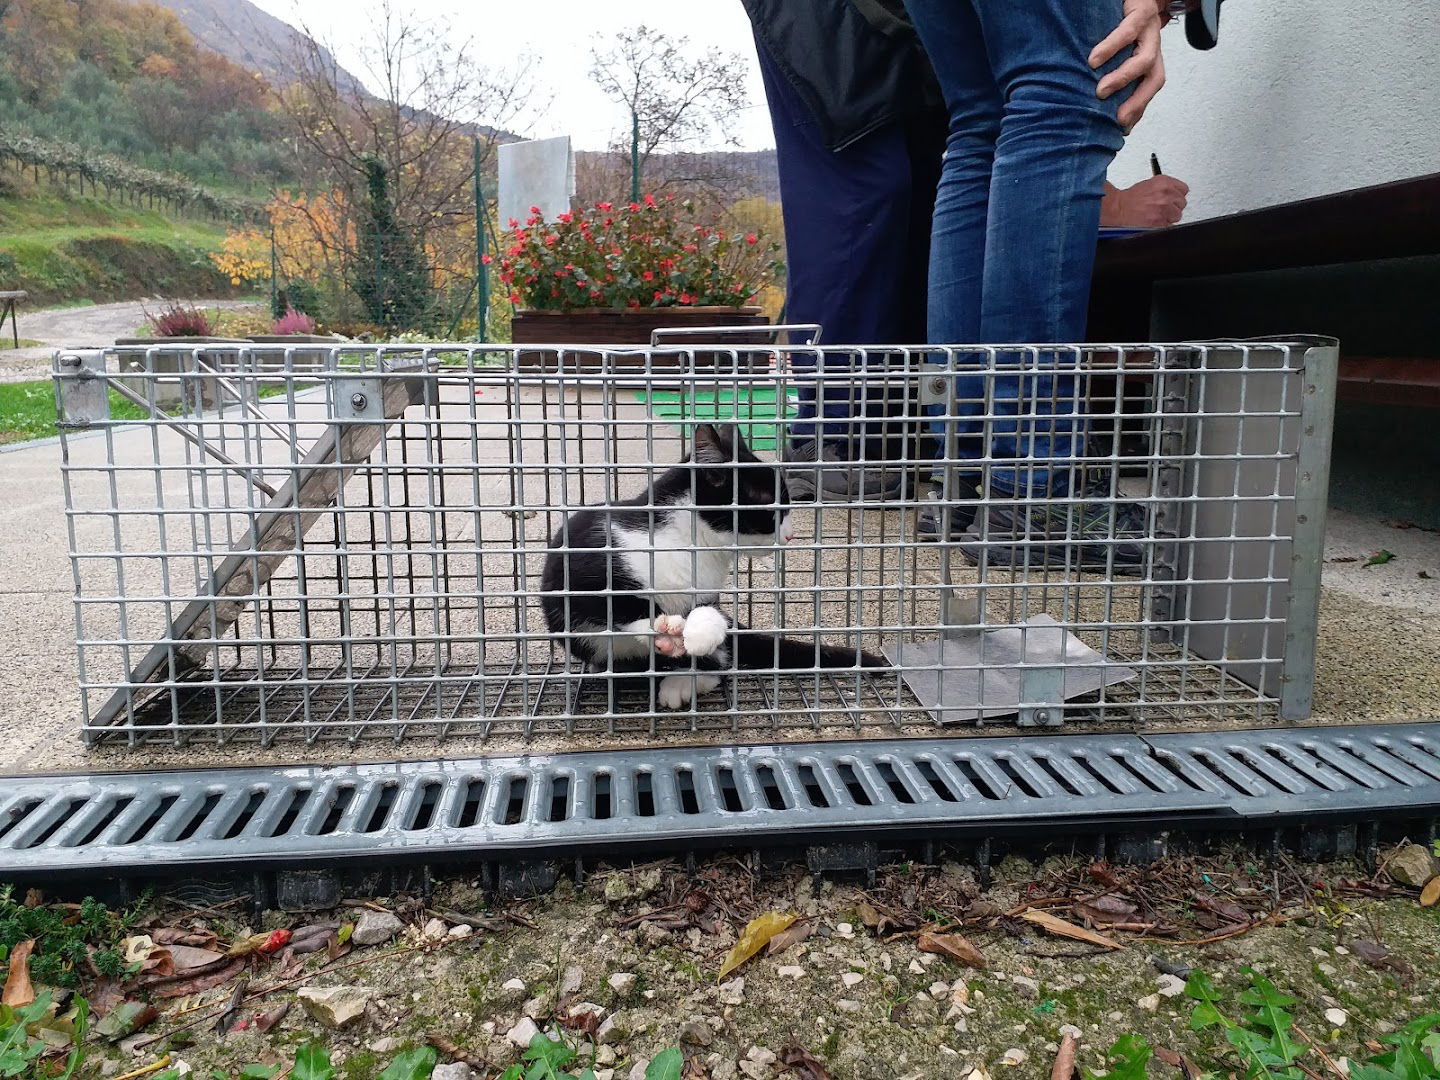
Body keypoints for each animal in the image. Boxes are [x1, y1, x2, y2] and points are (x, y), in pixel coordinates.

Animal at [538, 423, 881, 711]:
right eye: (771, 503)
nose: (790, 534)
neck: (691, 544)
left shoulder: (706, 591)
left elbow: (708, 613)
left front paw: (704, 631)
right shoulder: (578, 566)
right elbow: (614, 603)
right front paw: (663, 627)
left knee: (721, 661)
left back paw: (683, 683)